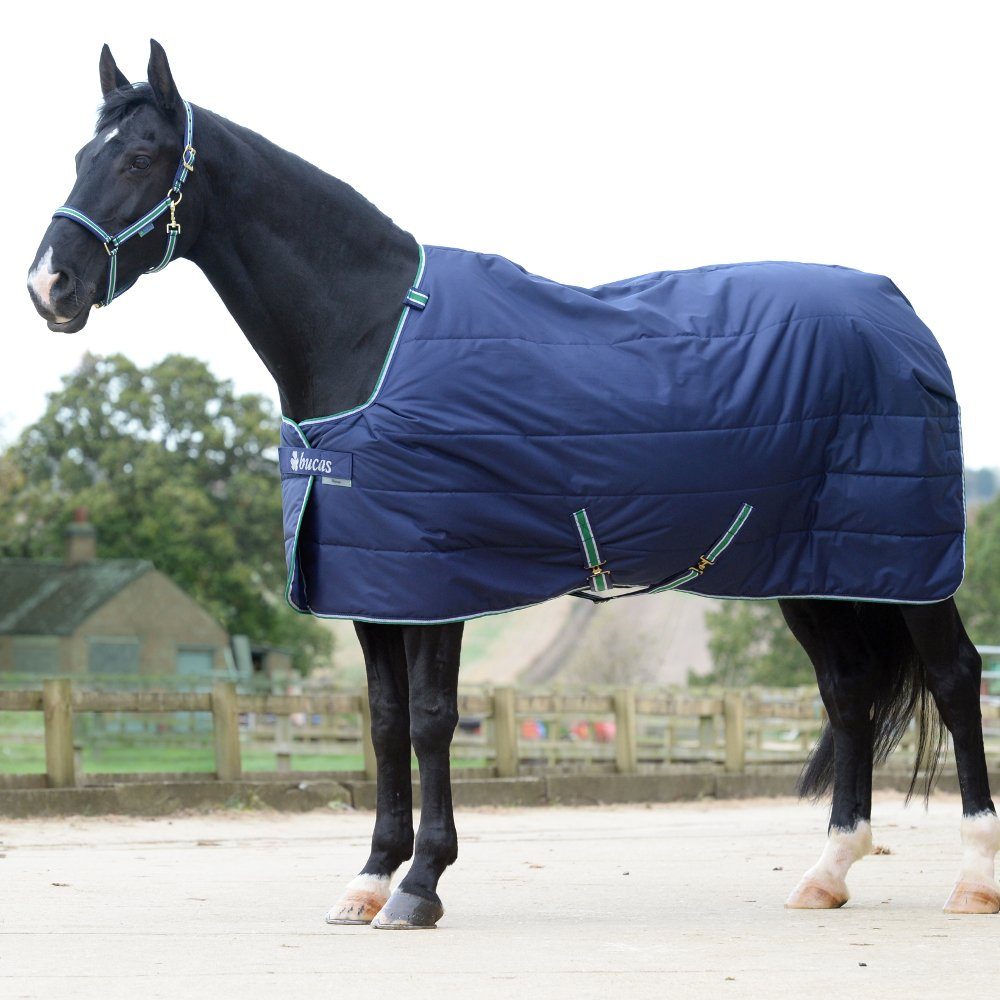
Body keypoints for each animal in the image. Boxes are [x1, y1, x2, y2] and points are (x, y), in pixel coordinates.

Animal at [27, 40, 999, 929]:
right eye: (79, 156)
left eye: (141, 156)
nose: (49, 286)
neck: (370, 331)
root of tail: (901, 315)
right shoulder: (371, 583)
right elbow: (382, 723)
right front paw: (368, 880)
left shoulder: (436, 579)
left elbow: (429, 720)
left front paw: (420, 885)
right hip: (823, 568)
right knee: (848, 694)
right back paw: (826, 873)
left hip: (906, 565)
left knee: (954, 678)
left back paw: (973, 876)